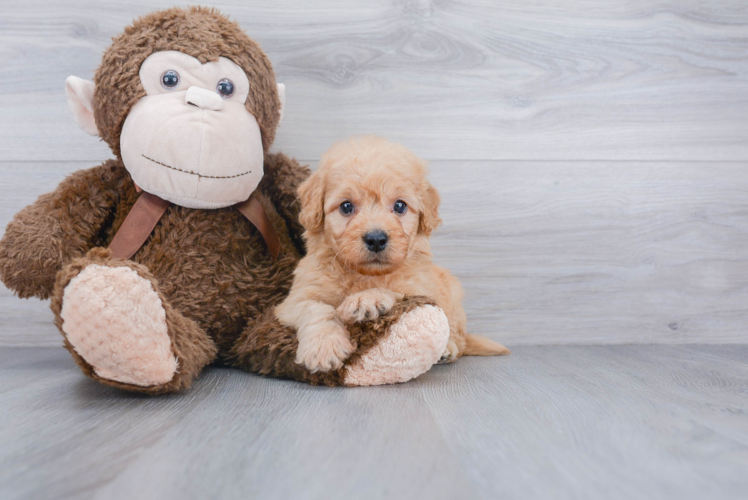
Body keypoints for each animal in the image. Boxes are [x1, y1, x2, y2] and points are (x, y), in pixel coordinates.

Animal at [278, 136, 512, 372]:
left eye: (400, 206)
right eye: (346, 206)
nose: (376, 239)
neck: (364, 275)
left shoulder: (418, 288)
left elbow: (394, 291)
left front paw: (367, 299)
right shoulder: (294, 300)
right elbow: (317, 309)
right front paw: (324, 348)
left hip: (452, 294)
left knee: (459, 337)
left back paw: (448, 349)